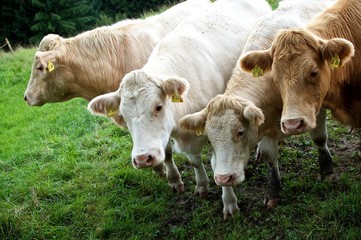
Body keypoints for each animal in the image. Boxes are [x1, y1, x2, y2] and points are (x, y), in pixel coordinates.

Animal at [179, 0, 334, 218]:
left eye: (240, 131)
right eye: (209, 138)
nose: (224, 178)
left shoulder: (315, 107)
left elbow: (319, 138)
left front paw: (327, 170)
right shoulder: (266, 121)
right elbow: (270, 155)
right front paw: (272, 192)